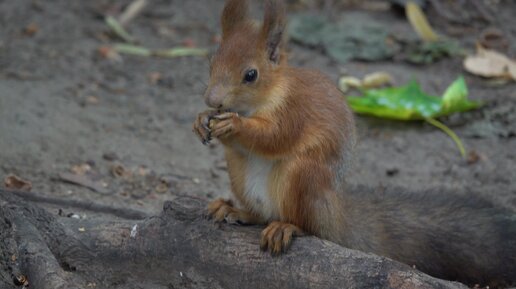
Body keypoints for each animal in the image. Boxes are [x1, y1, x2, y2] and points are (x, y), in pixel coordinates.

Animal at [192, 0, 516, 286]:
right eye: (212, 62)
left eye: (251, 75)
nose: (212, 99)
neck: (263, 99)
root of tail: (335, 215)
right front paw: (201, 119)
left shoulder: (295, 111)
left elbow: (275, 137)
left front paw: (234, 124)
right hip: (239, 173)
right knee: (261, 214)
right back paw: (235, 210)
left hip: (302, 176)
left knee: (309, 227)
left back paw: (286, 226)